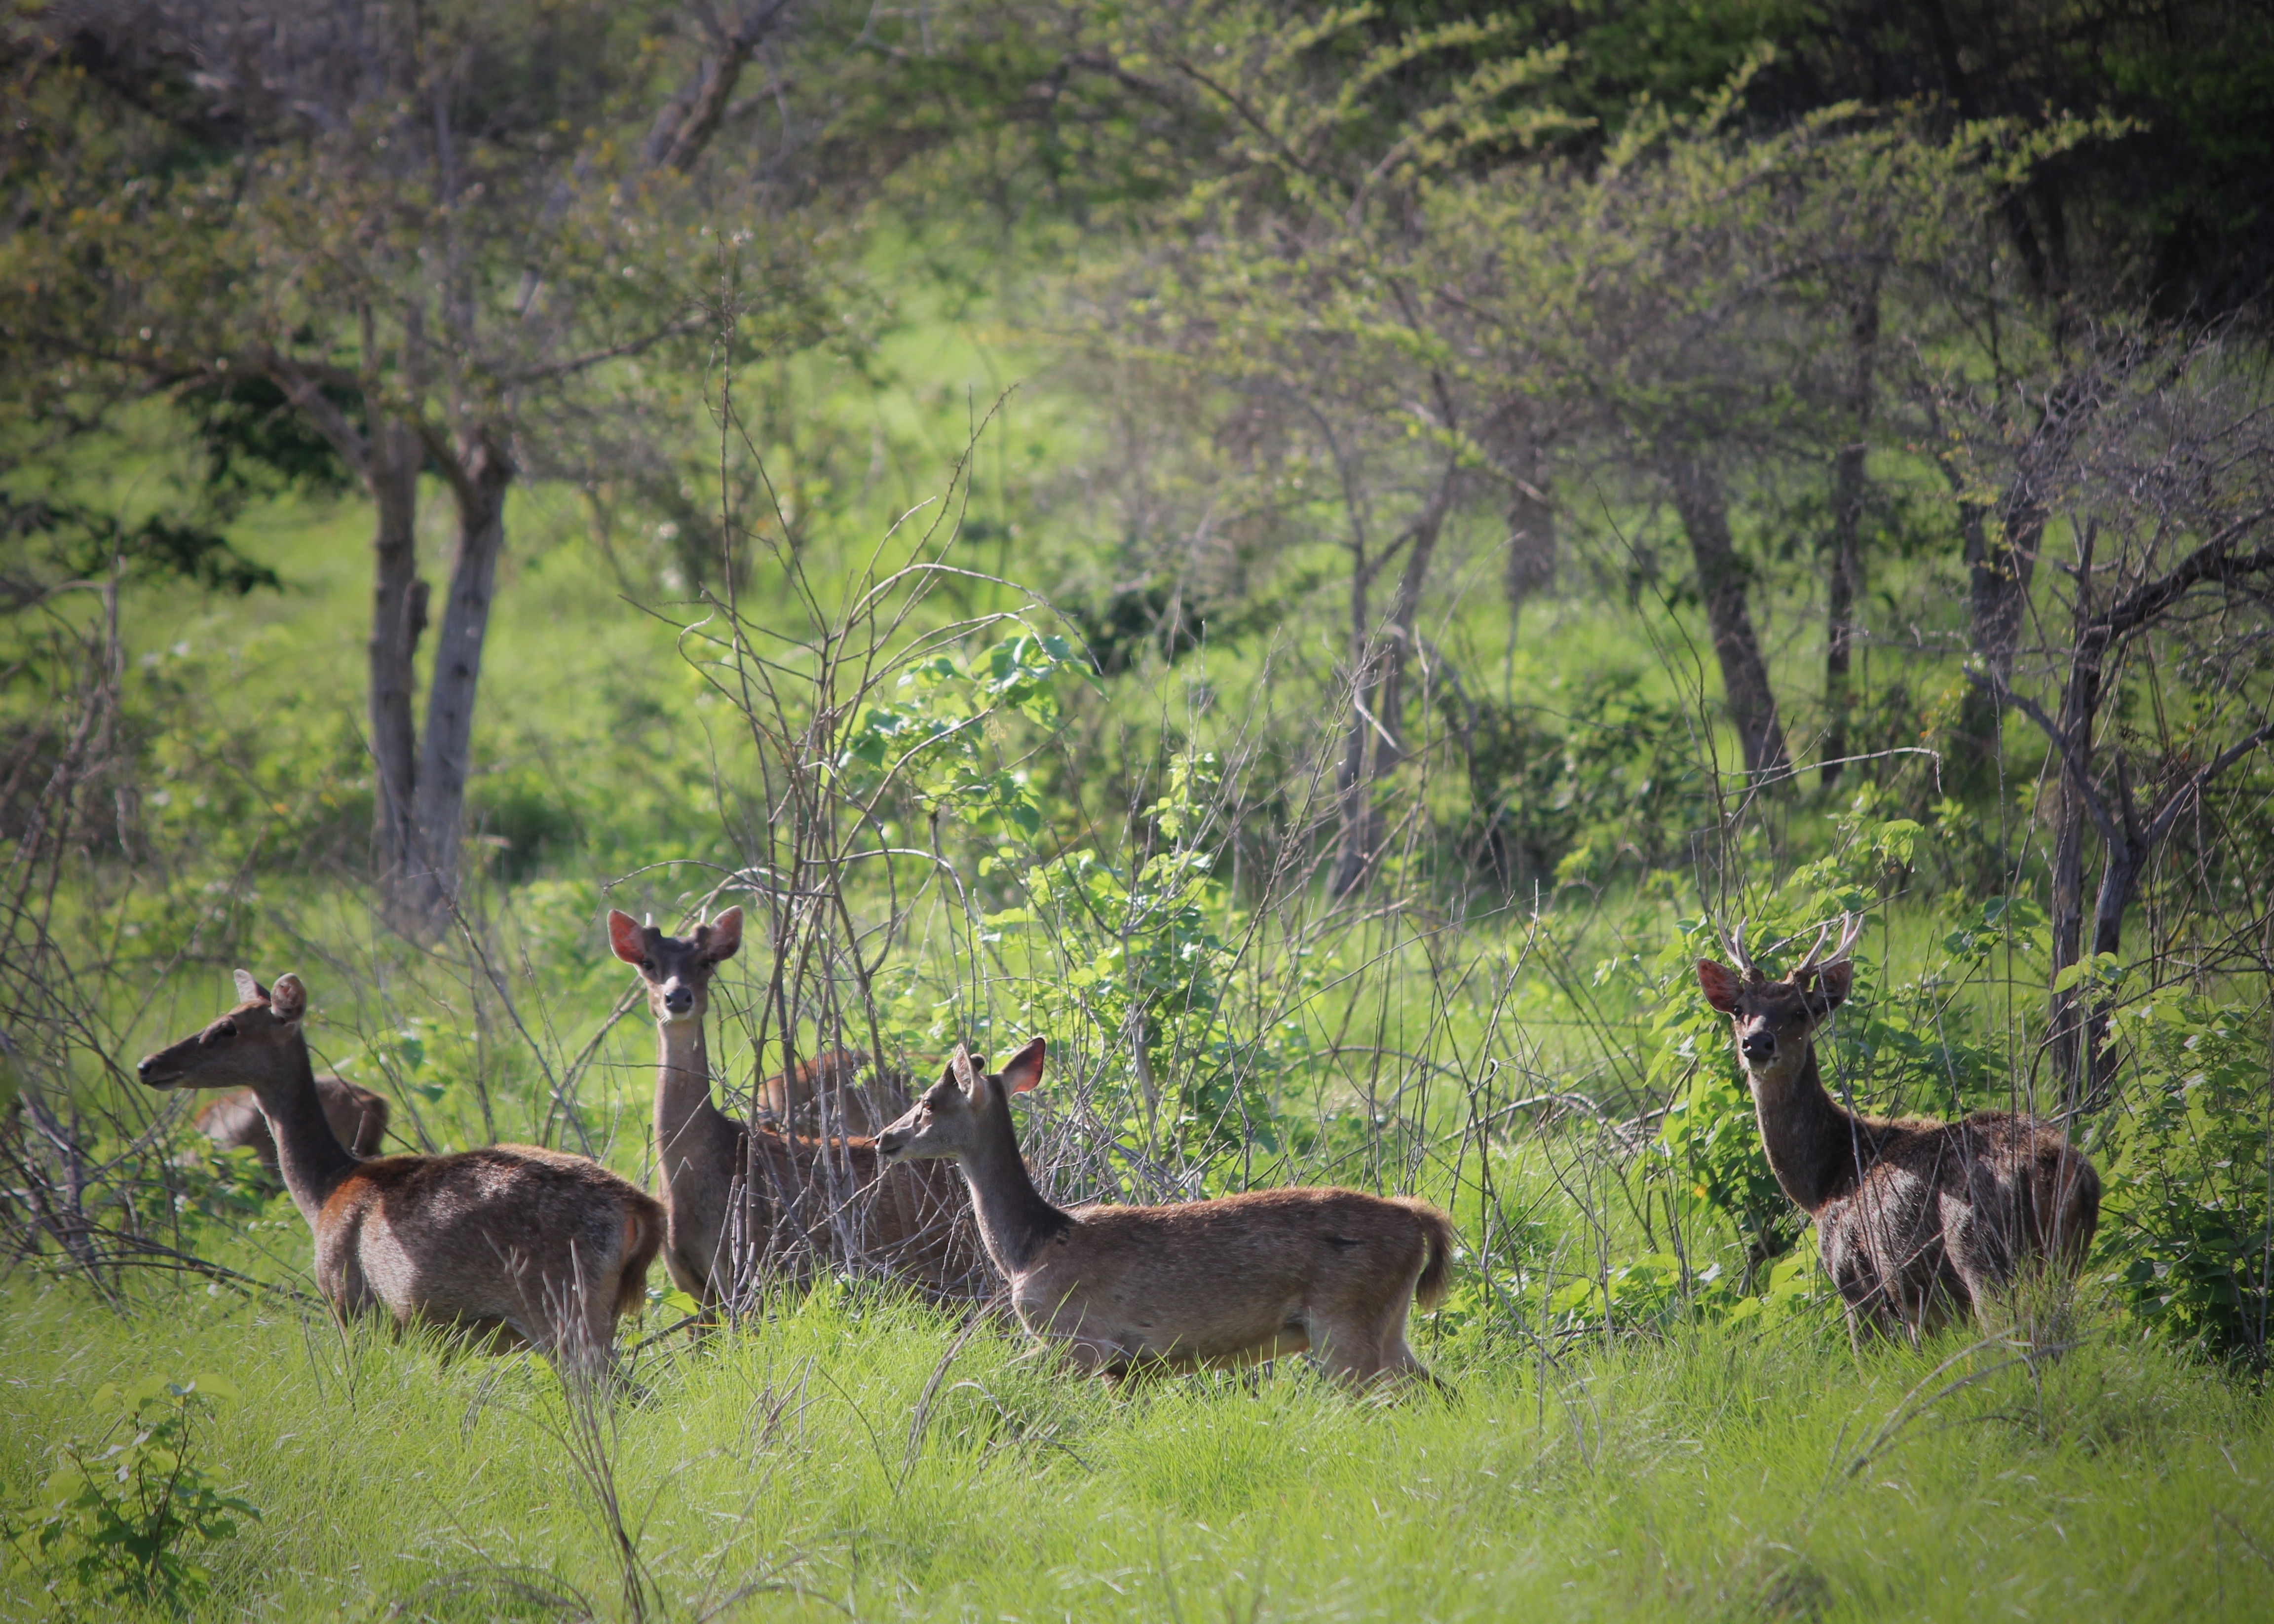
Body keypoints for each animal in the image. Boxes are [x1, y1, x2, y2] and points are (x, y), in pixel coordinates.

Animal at [874, 1038, 1457, 1388]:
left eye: (929, 1102)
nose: (884, 1138)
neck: (1032, 1248)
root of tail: (1417, 1221)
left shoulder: (1080, 1339)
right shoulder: (1127, 1369)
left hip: (1345, 1323)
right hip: (1387, 1327)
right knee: (1440, 1392)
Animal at [1697, 915, 2101, 1346]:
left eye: (1801, 1011)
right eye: (1739, 1008)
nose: (1756, 1042)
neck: (1824, 1182)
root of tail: (2061, 1169)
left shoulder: (1853, 1278)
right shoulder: (1926, 1305)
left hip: (1984, 1256)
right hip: (2066, 1260)